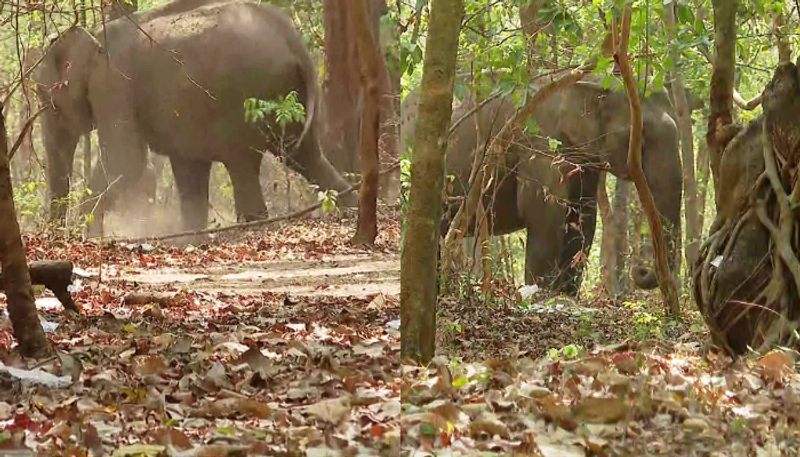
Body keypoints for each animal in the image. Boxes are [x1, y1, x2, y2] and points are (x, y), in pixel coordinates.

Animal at [34, 0, 354, 232]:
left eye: (47, 101)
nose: (55, 234)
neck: (92, 34)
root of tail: (293, 41)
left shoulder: (112, 83)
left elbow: (125, 162)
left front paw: (86, 232)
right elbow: (187, 166)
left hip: (244, 96)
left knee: (243, 163)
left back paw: (252, 227)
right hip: (288, 96)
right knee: (306, 156)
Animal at [404, 81, 684, 296]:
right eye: (641, 135)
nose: (640, 269)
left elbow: (583, 218)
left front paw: (565, 295)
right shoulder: (539, 144)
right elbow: (544, 214)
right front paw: (540, 295)